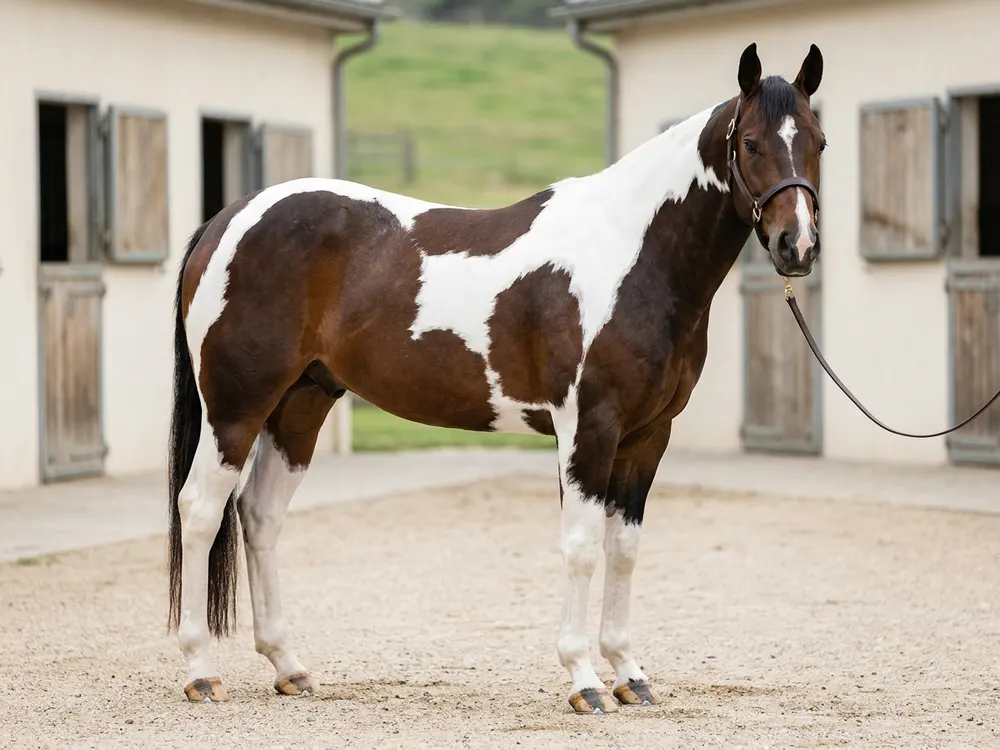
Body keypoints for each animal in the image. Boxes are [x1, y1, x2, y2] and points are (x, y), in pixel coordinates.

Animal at [166, 41, 826, 714]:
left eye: (820, 142)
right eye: (751, 143)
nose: (796, 246)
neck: (631, 255)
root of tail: (226, 221)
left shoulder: (647, 437)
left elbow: (624, 549)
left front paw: (629, 673)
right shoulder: (588, 428)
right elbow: (581, 546)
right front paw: (584, 680)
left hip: (300, 404)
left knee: (260, 515)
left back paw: (289, 666)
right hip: (236, 406)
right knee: (200, 510)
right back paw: (200, 672)